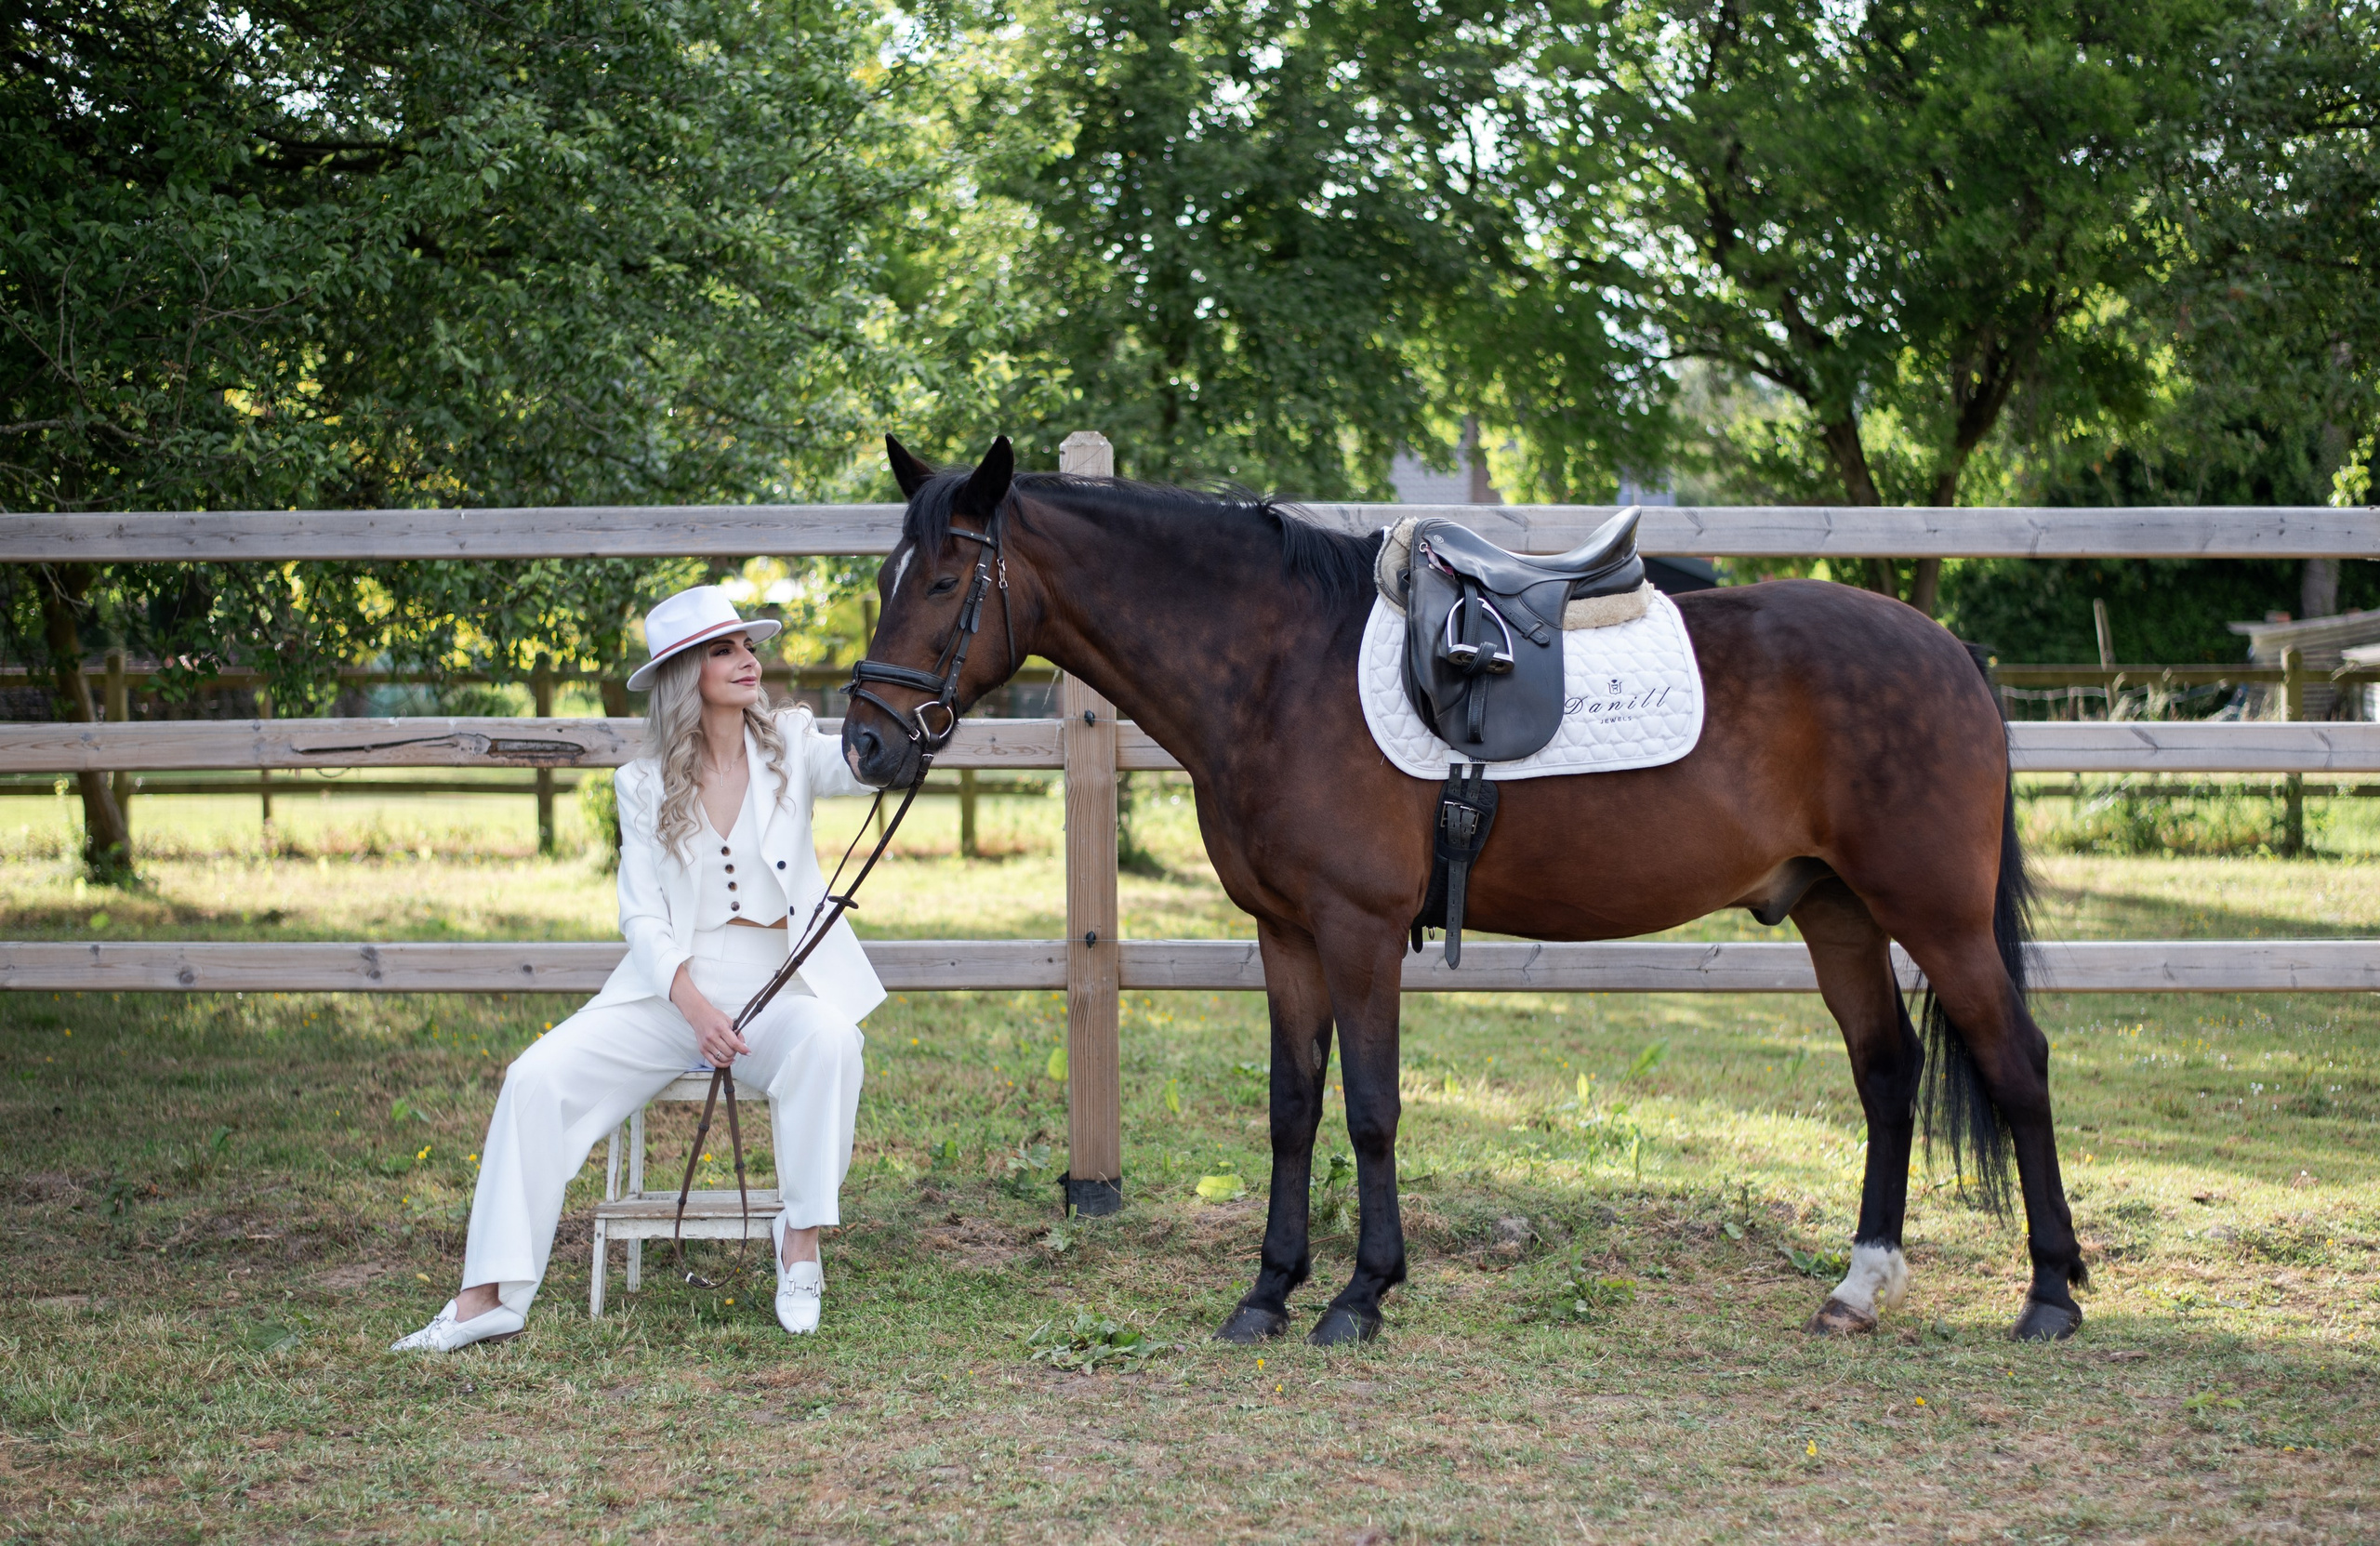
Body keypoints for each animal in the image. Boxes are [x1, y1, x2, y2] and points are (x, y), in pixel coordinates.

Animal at [842, 435, 2085, 1347]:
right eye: (886, 578)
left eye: (945, 579)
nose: (865, 743)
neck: (1277, 667)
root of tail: (1949, 651)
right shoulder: (1285, 935)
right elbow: (1293, 1108)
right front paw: (1268, 1291)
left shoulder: (1359, 932)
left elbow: (1370, 1109)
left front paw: (1360, 1295)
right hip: (1836, 912)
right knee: (1886, 1074)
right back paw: (1859, 1288)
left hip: (1935, 916)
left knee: (2016, 1062)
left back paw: (2050, 1294)